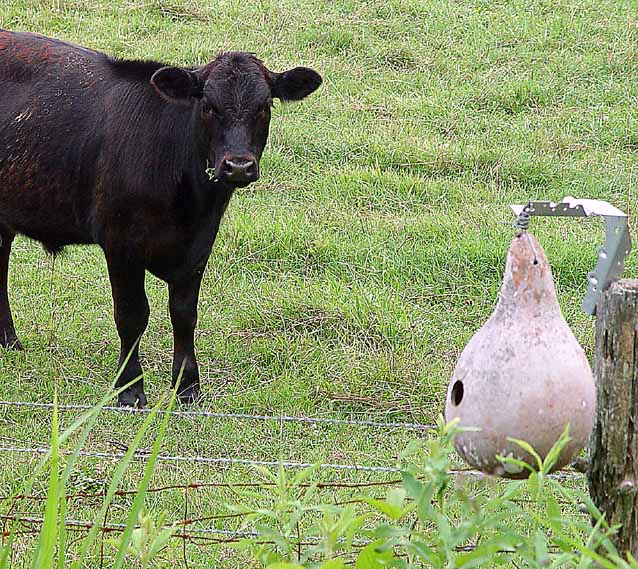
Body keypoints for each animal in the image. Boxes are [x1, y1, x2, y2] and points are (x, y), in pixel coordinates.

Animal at [0, 30, 322, 404]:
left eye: (264, 107)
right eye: (208, 106)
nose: (238, 165)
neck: (187, 205)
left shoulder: (199, 245)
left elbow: (184, 314)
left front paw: (188, 386)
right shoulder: (120, 243)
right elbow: (132, 316)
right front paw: (129, 389)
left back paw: (9, 341)